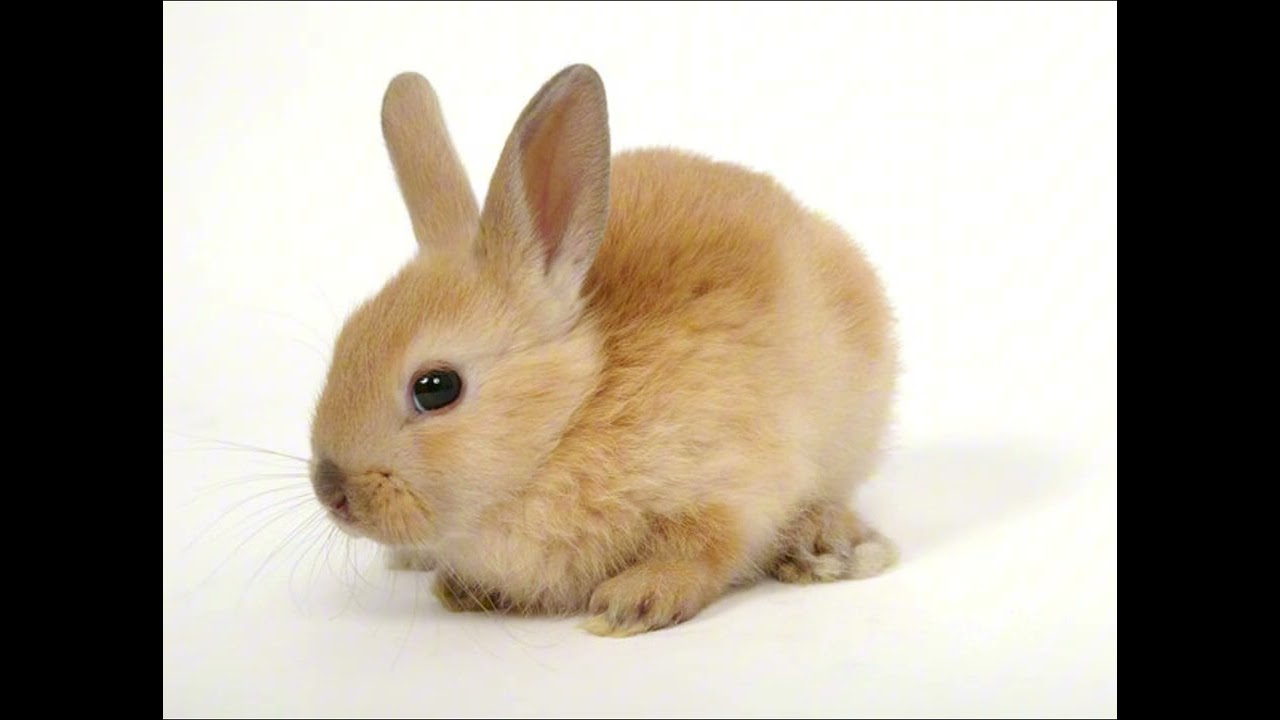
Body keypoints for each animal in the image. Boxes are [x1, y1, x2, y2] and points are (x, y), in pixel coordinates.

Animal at [309, 64, 899, 637]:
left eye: (436, 388)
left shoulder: (732, 478)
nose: (330, 491)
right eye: (345, 341)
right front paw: (460, 587)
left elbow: (705, 546)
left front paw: (633, 603)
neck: (574, 414)